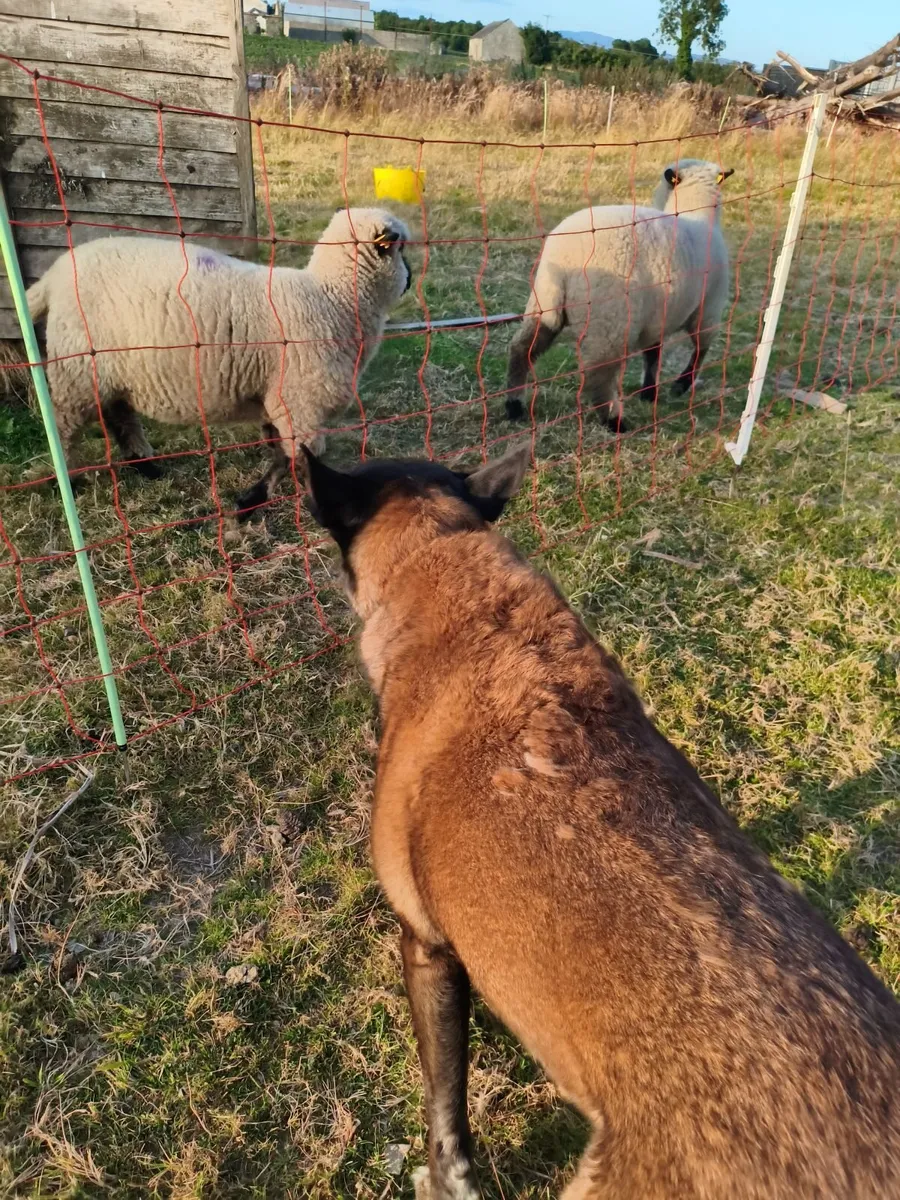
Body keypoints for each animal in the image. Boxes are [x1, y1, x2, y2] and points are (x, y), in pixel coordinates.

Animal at [26, 208, 411, 518]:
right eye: (401, 250)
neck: (334, 299)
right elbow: (296, 459)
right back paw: (68, 480)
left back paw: (146, 465)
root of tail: (56, 273)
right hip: (75, 369)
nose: (408, 281)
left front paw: (252, 499)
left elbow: (280, 453)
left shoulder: (277, 399)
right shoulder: (299, 402)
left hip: (106, 370)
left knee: (119, 415)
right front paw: (253, 502)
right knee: (65, 426)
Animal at [505, 159, 733, 431]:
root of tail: (565, 255)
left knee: (522, 349)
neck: (696, 213)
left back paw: (514, 405)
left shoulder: (658, 317)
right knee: (597, 374)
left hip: (545, 304)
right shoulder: (708, 308)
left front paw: (649, 392)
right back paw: (615, 421)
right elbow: (700, 350)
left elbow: (653, 355)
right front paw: (681, 385)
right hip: (611, 322)